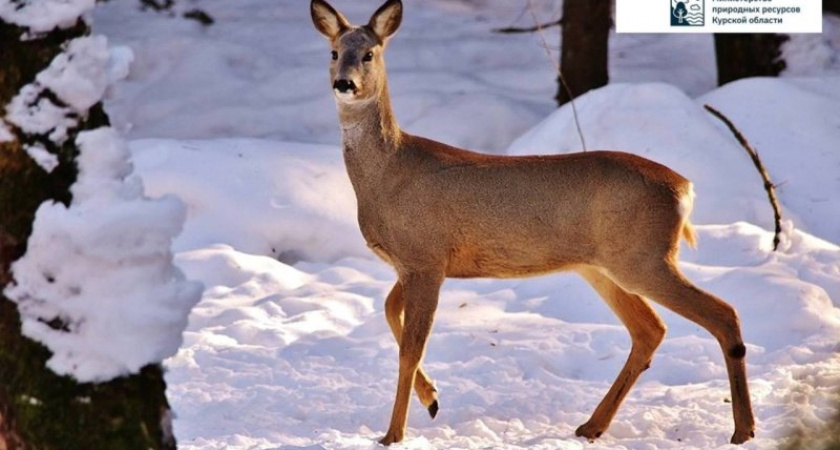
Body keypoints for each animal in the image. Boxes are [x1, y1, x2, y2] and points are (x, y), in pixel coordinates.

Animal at [312, 0, 756, 442]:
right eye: (333, 52)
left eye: (369, 54)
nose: (344, 83)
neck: (388, 173)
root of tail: (684, 187)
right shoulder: (415, 263)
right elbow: (389, 311)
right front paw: (432, 398)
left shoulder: (426, 258)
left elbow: (410, 348)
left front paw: (393, 434)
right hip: (602, 266)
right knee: (650, 330)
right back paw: (592, 426)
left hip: (644, 257)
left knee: (723, 313)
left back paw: (743, 429)